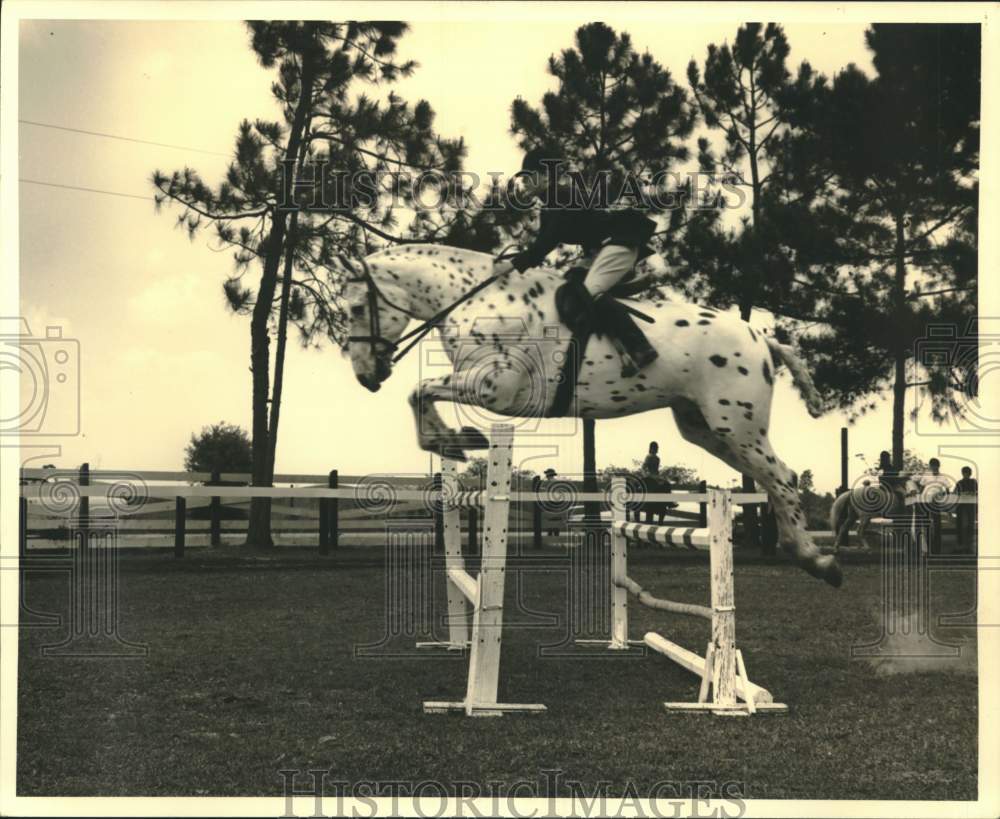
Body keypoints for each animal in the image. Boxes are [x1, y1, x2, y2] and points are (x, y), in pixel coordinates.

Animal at [344, 243, 844, 588]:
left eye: (356, 307)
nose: (366, 376)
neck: (478, 304)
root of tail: (763, 340)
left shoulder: (496, 387)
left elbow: (419, 390)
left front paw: (455, 439)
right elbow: (420, 394)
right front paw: (454, 440)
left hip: (736, 424)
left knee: (782, 476)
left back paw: (817, 560)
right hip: (705, 429)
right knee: (774, 478)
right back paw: (806, 554)